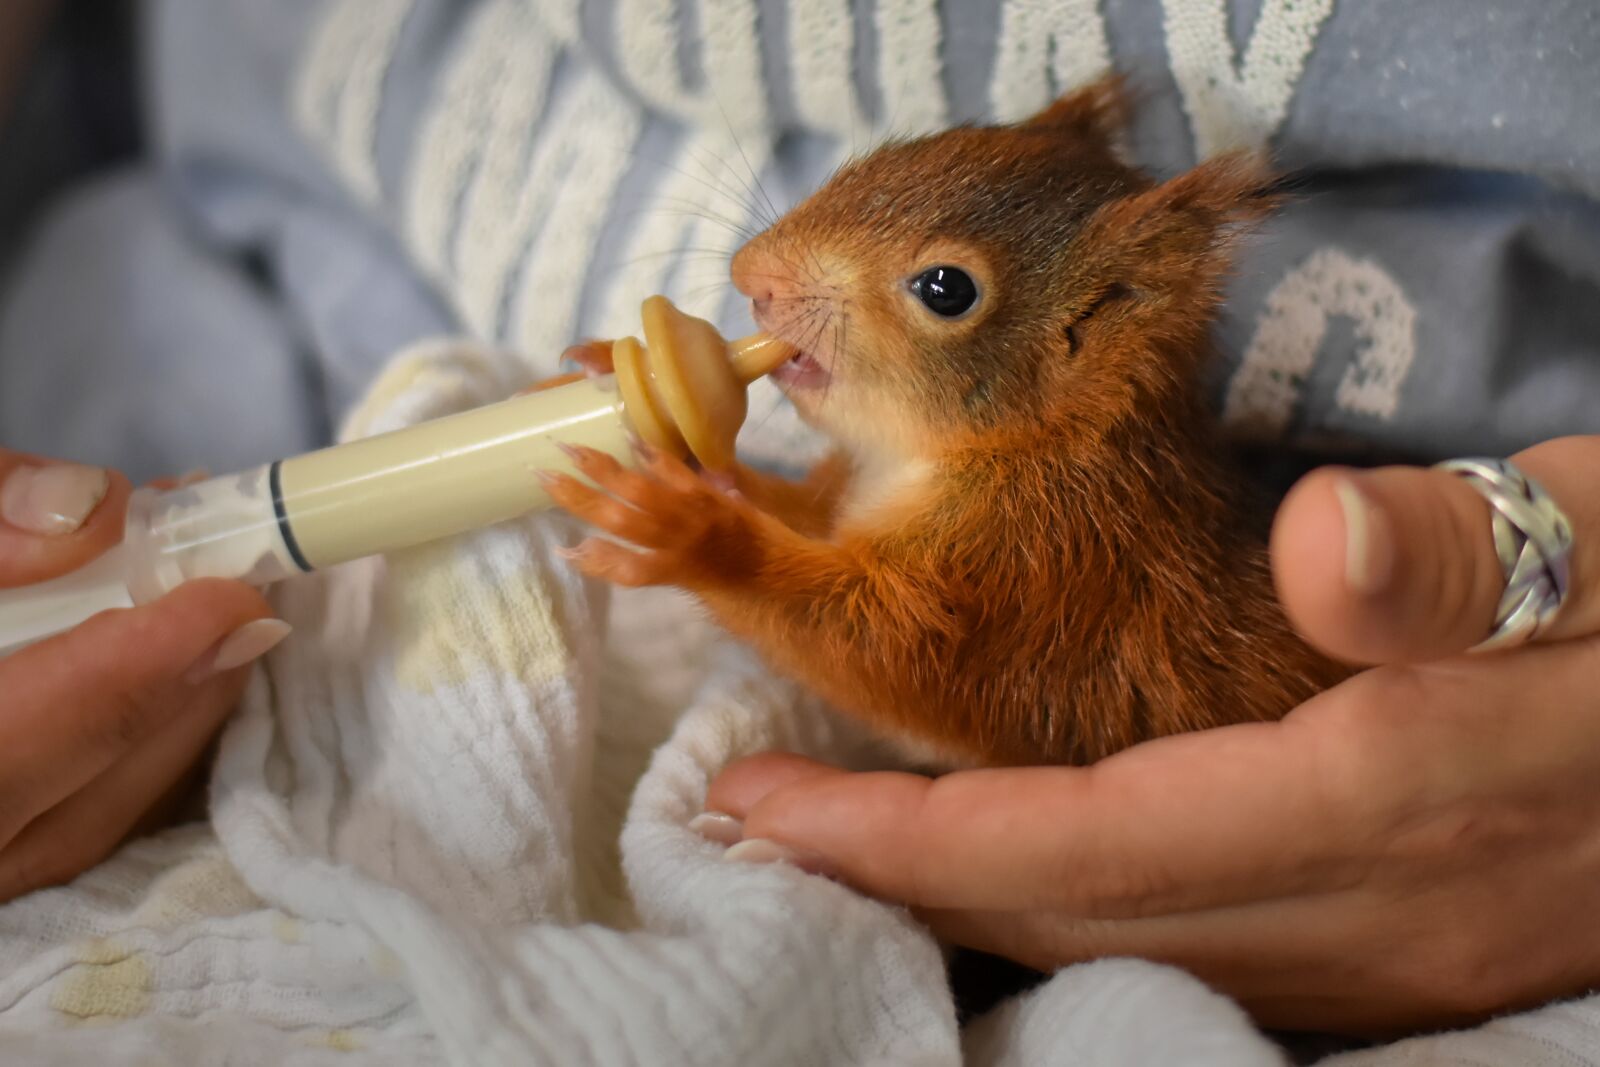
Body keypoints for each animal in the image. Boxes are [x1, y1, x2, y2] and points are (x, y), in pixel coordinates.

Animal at [544, 76, 1352, 768]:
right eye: (906, 149)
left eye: (947, 289)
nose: (753, 276)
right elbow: (798, 512)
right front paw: (631, 396)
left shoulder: (1034, 571)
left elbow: (882, 653)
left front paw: (691, 534)